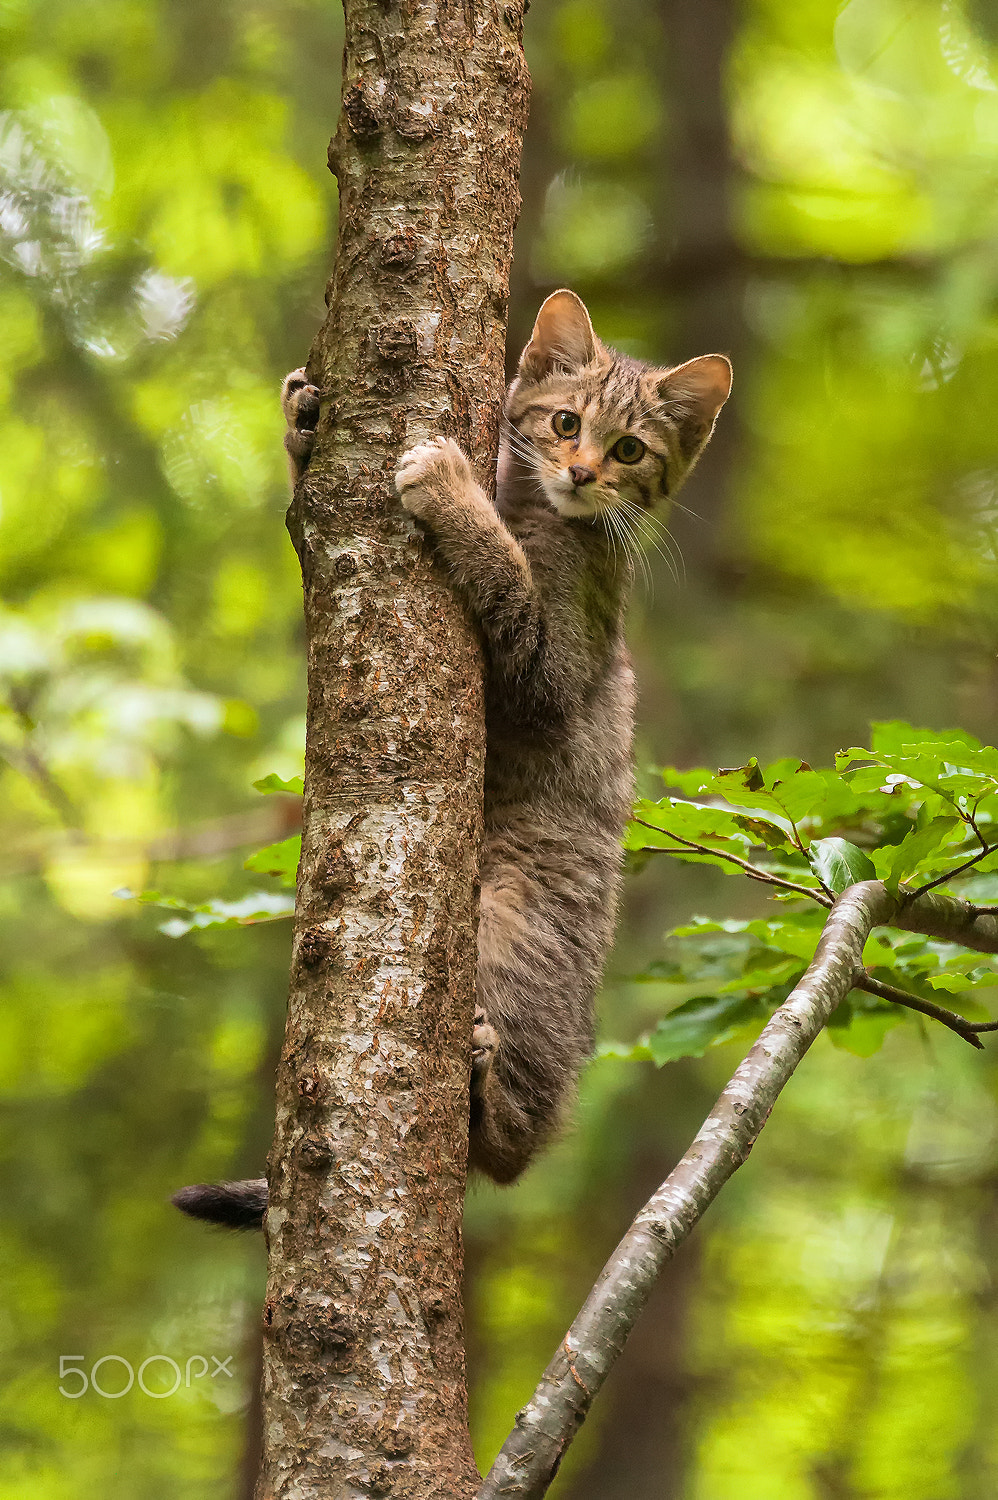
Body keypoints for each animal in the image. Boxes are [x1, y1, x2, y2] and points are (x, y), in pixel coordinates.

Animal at [173, 292, 732, 1230]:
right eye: (565, 423)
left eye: (629, 450)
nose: (583, 473)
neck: (540, 508)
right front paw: (301, 419)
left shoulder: (551, 676)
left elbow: (506, 581)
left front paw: (450, 491)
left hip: (518, 921)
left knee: (512, 1155)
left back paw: (488, 1099)